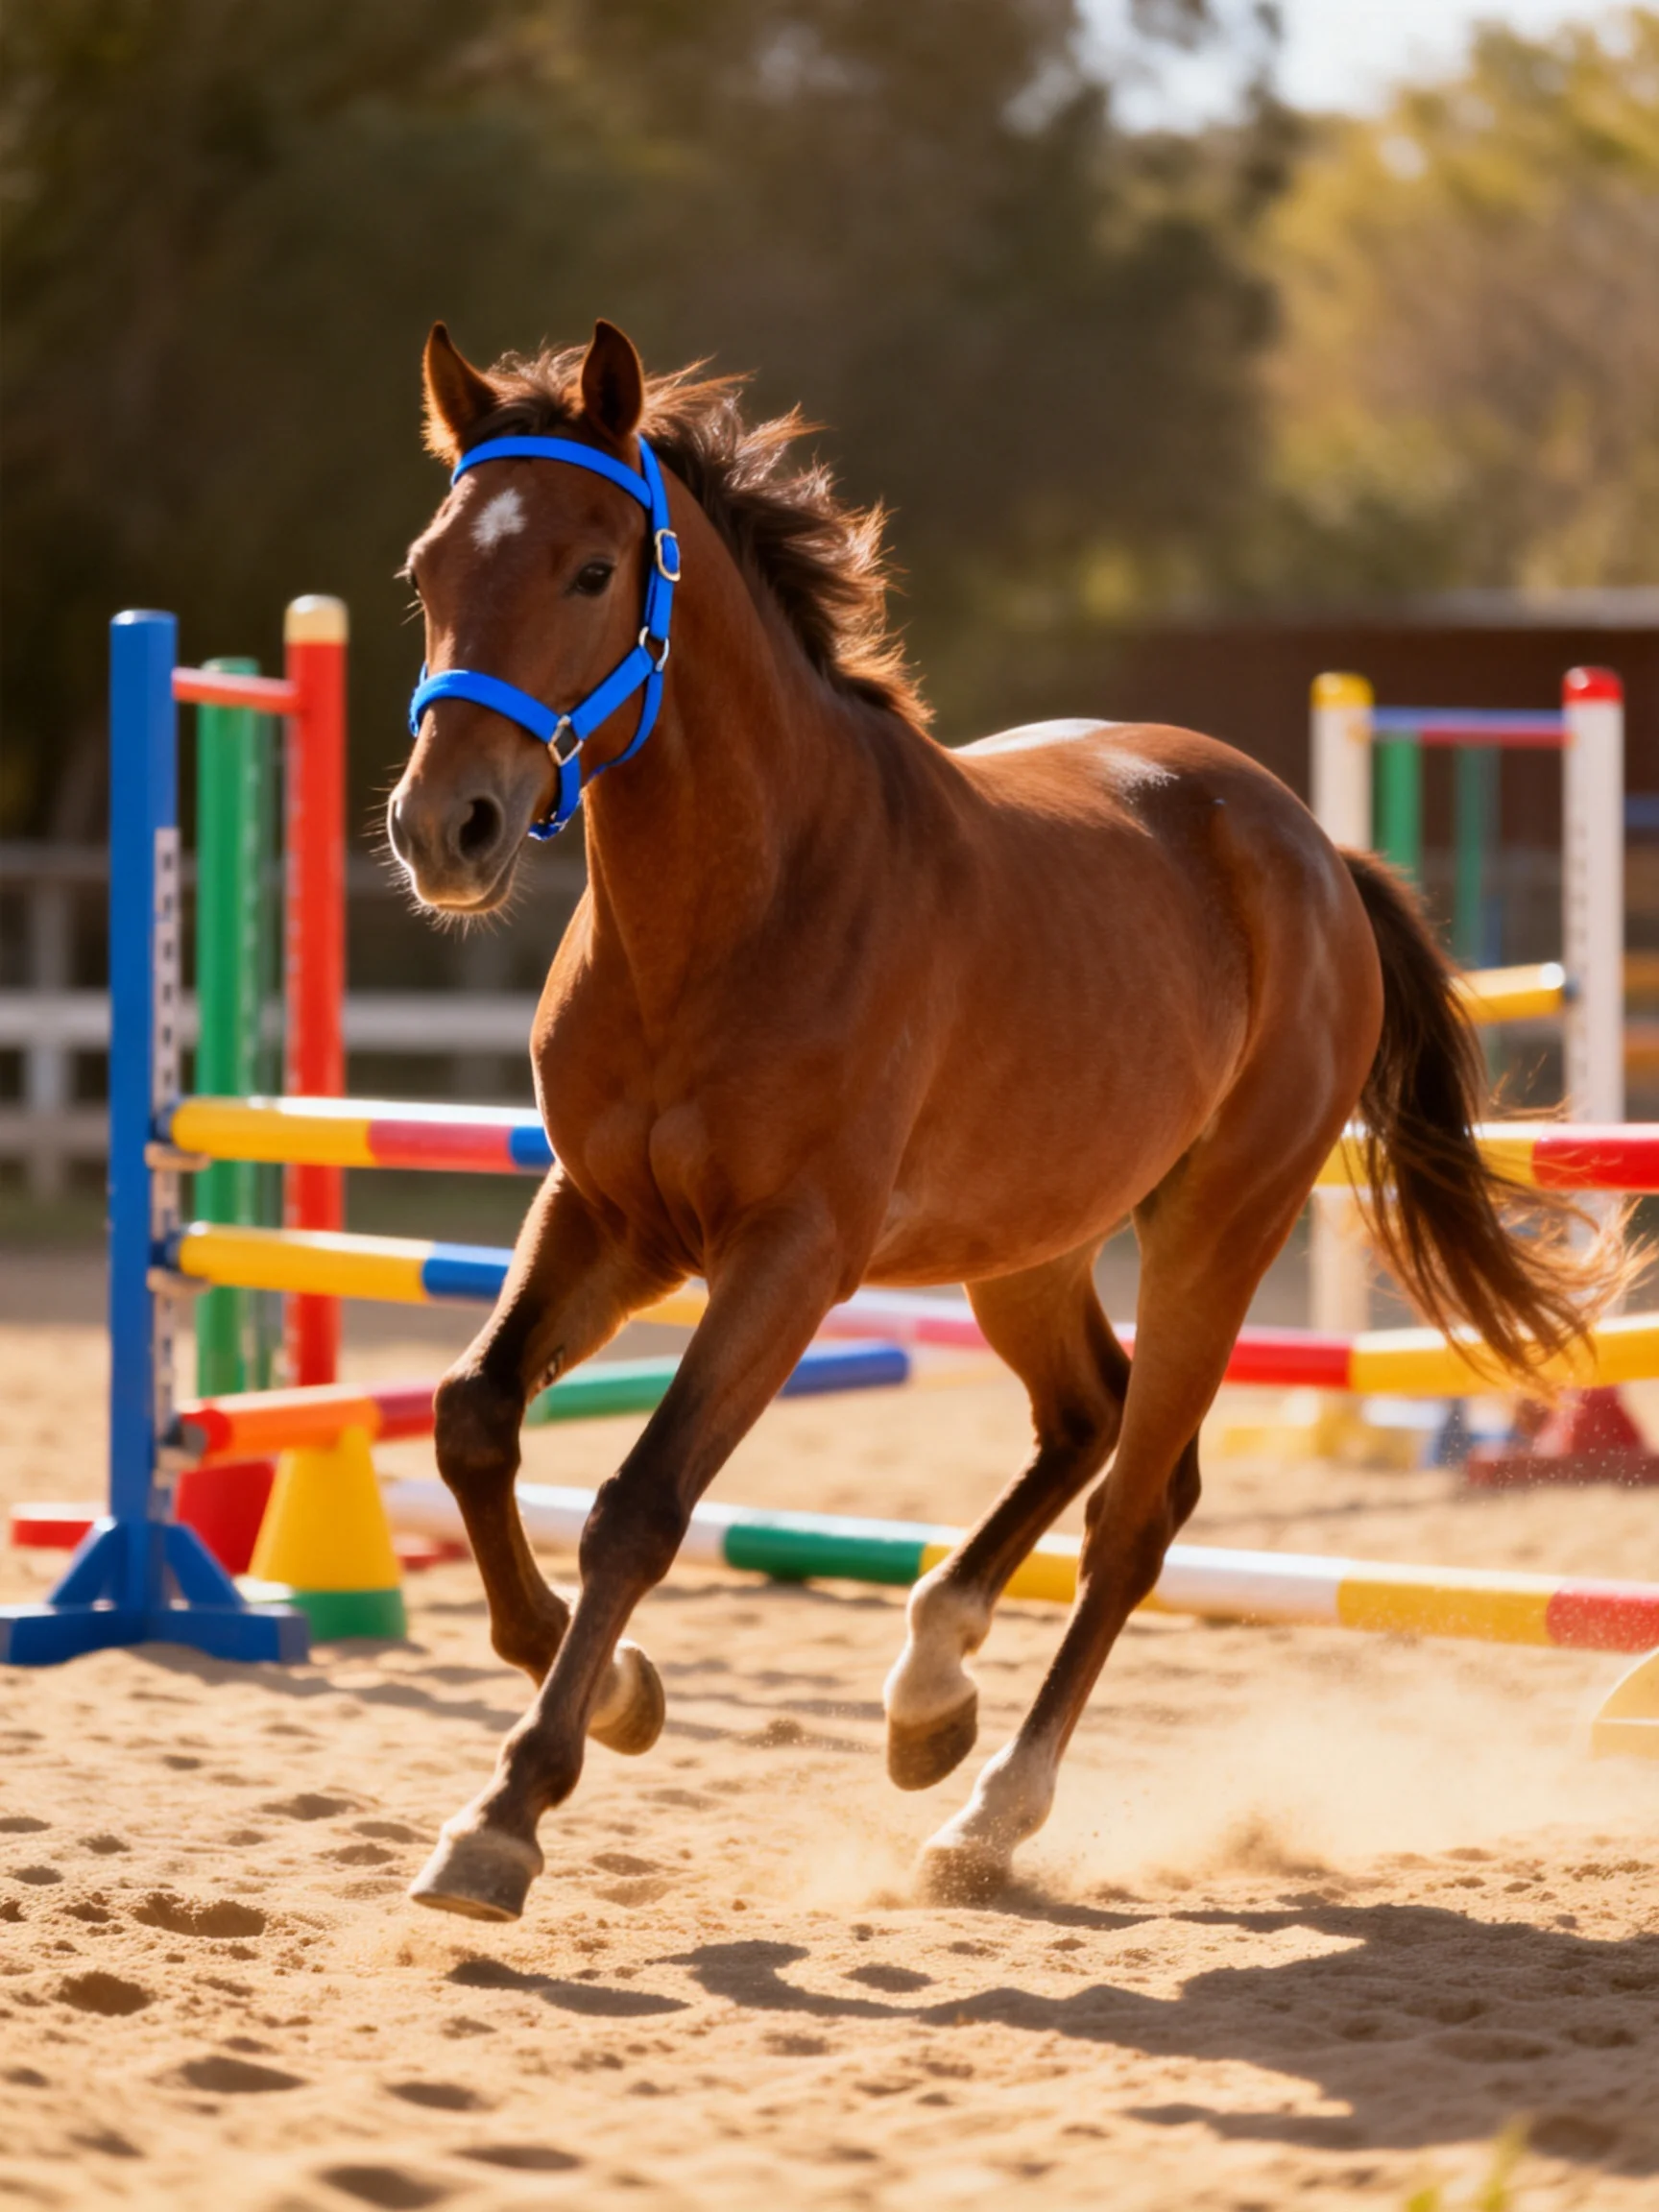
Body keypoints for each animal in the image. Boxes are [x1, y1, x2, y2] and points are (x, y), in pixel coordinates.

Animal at [387, 318, 1612, 1922]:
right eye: (426, 571)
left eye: (593, 570)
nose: (442, 828)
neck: (733, 913)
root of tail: (1308, 848)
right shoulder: (607, 1217)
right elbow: (473, 1420)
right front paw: (626, 1696)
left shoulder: (789, 1259)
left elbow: (640, 1506)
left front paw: (506, 1815)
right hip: (1026, 1243)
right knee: (1086, 1415)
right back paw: (929, 1691)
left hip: (1219, 1227)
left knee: (1139, 1510)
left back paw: (989, 1812)